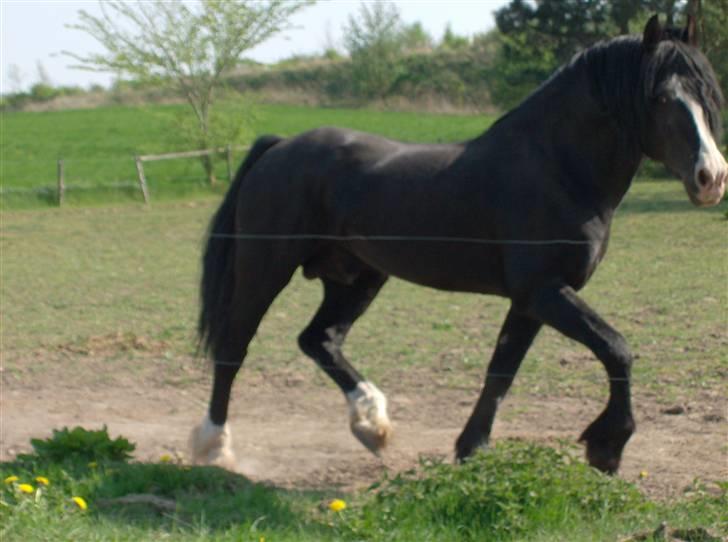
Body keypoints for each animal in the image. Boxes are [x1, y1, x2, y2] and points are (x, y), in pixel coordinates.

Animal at [191, 15, 724, 476]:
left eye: (708, 95)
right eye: (662, 98)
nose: (711, 177)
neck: (556, 170)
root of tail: (281, 147)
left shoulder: (532, 300)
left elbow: (501, 372)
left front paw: (471, 449)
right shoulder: (544, 291)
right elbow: (617, 349)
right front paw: (606, 446)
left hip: (357, 277)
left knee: (318, 339)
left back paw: (372, 424)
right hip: (265, 268)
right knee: (234, 346)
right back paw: (215, 446)